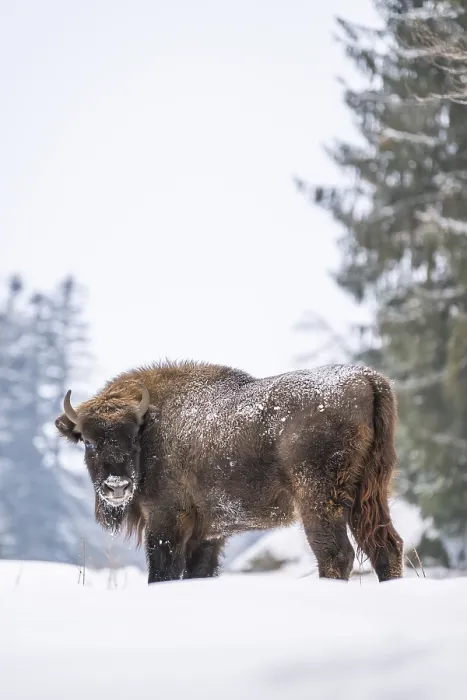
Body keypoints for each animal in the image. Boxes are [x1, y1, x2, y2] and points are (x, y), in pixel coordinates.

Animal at [55, 360, 404, 584]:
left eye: (132, 437)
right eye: (88, 441)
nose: (117, 487)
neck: (152, 424)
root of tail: (367, 379)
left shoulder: (167, 520)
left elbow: (162, 572)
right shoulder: (208, 534)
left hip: (319, 498)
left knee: (335, 553)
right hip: (371, 492)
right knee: (386, 546)